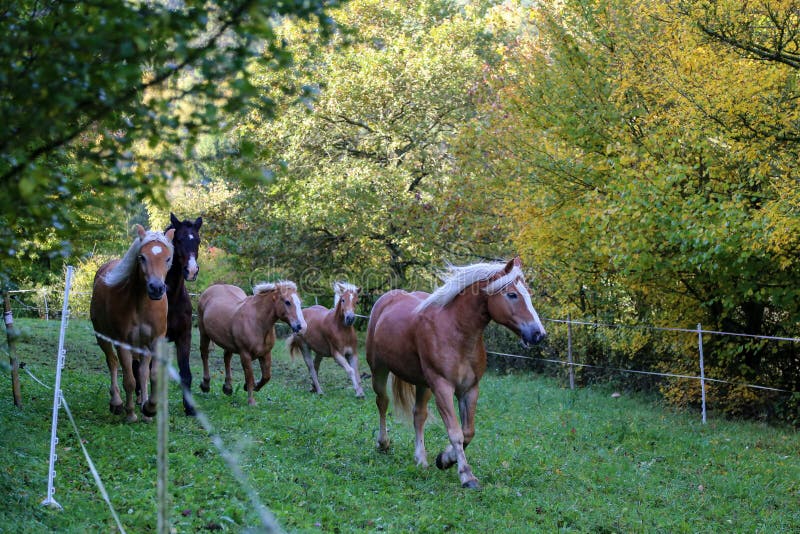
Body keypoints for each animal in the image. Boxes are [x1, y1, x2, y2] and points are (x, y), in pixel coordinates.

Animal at [92, 224, 177, 426]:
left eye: (167, 258)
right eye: (142, 257)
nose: (156, 288)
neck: (141, 303)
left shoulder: (155, 341)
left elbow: (152, 375)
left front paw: (150, 409)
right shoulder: (122, 343)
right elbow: (129, 380)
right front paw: (130, 413)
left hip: (142, 345)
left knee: (143, 372)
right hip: (102, 337)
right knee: (112, 363)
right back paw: (116, 403)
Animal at [366, 258, 548, 490]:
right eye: (512, 294)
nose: (538, 334)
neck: (456, 333)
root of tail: (387, 299)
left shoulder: (469, 389)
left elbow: (468, 432)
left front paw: (444, 459)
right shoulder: (443, 387)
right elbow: (455, 432)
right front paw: (466, 475)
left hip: (423, 384)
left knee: (419, 415)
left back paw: (421, 460)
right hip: (379, 370)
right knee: (382, 402)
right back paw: (383, 443)